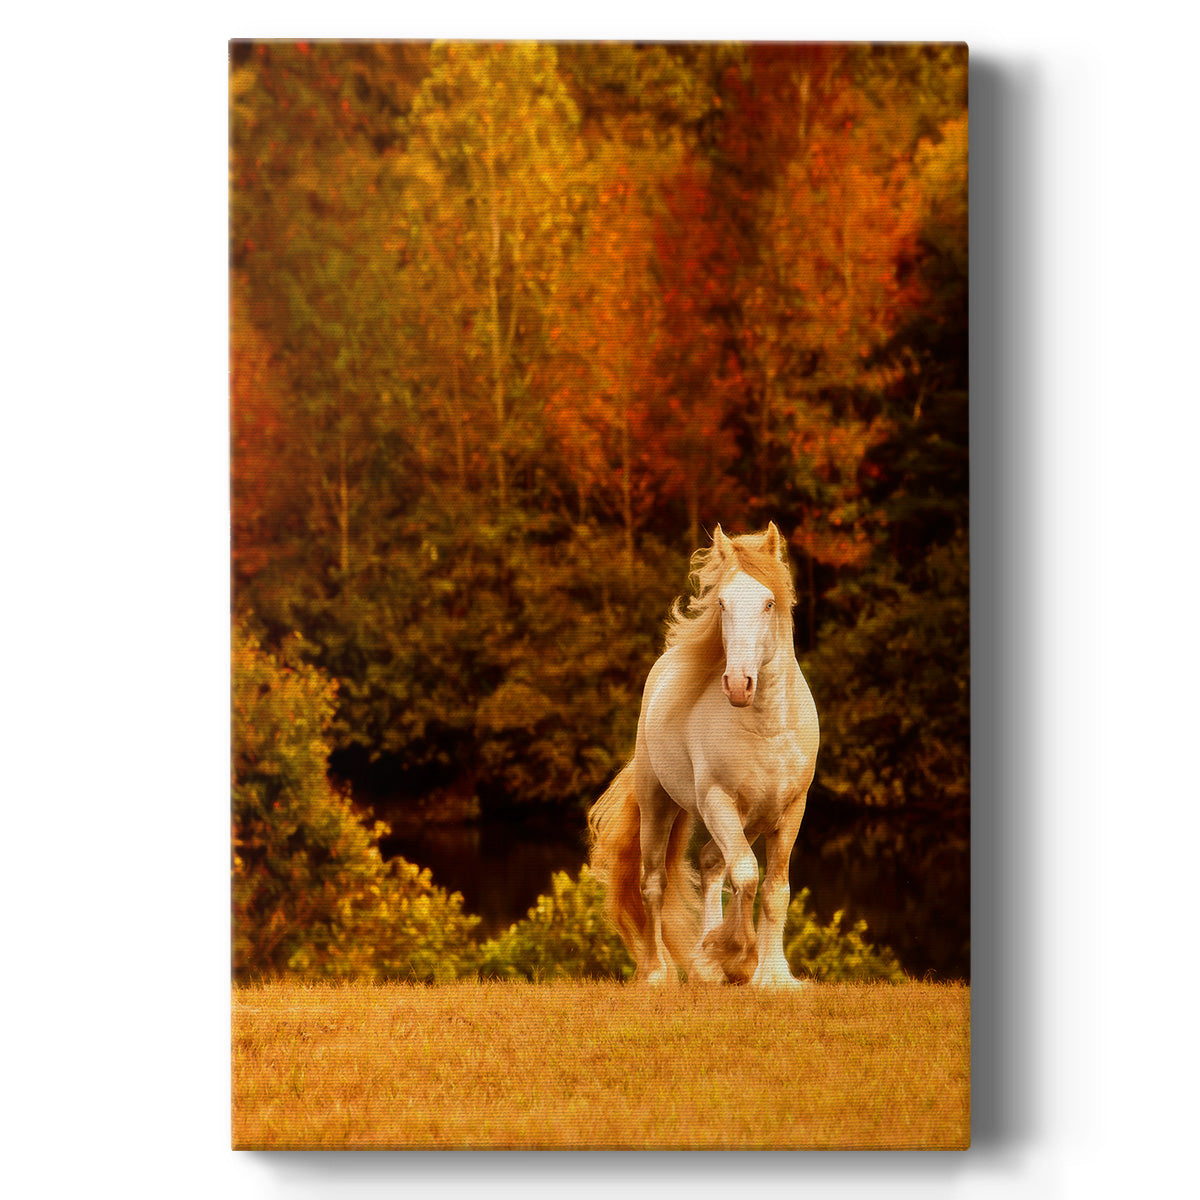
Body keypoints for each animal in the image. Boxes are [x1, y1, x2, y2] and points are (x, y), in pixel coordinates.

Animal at [588, 522, 820, 988]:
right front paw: (734, 955)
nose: (738, 684)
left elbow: (775, 888)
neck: (768, 726)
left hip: (750, 817)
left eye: (769, 603)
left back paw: (703, 965)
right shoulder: (717, 801)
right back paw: (660, 972)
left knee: (713, 863)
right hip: (660, 806)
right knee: (654, 882)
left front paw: (772, 975)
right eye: (722, 602)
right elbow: (746, 874)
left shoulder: (789, 810)